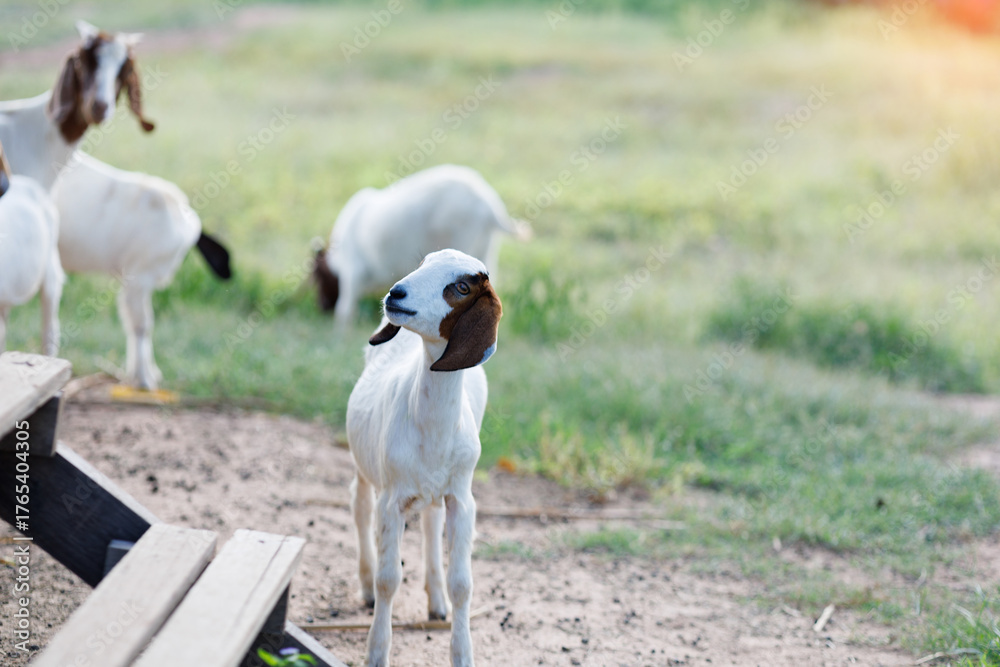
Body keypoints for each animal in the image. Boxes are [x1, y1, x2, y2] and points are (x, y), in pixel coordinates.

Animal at [314, 164, 528, 331]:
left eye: (318, 276)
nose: (321, 308)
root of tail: (491, 207)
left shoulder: (353, 272)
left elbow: (345, 309)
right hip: (485, 250)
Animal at [346, 249, 502, 667]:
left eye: (461, 287)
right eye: (423, 263)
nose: (396, 293)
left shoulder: (462, 498)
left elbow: (463, 583)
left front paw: (462, 654)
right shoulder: (392, 498)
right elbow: (388, 580)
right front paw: (376, 653)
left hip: (438, 491)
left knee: (432, 522)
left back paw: (436, 602)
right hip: (365, 464)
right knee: (360, 506)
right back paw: (365, 587)